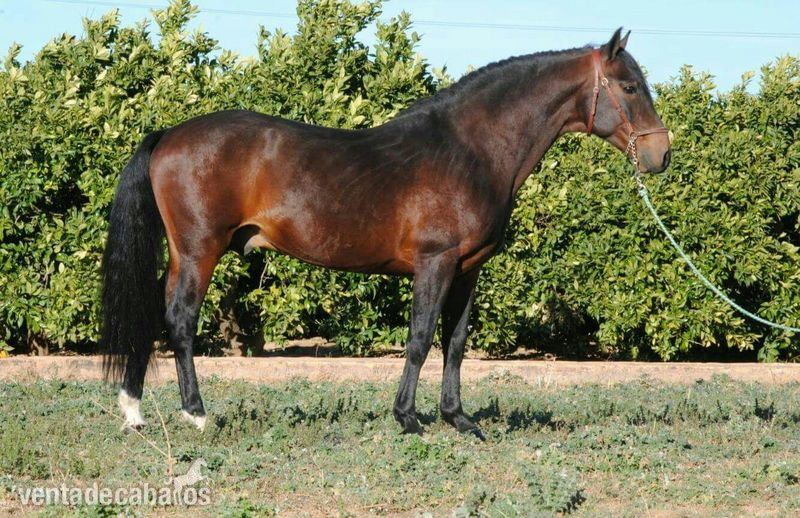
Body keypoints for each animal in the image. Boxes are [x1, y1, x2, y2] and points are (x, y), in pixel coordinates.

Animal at [102, 28, 671, 439]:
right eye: (628, 87)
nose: (660, 154)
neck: (471, 150)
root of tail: (169, 136)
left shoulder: (468, 270)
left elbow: (455, 343)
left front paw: (459, 419)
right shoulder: (435, 263)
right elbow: (419, 340)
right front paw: (409, 418)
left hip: (182, 253)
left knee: (151, 315)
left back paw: (134, 412)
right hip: (200, 249)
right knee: (180, 320)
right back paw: (196, 413)